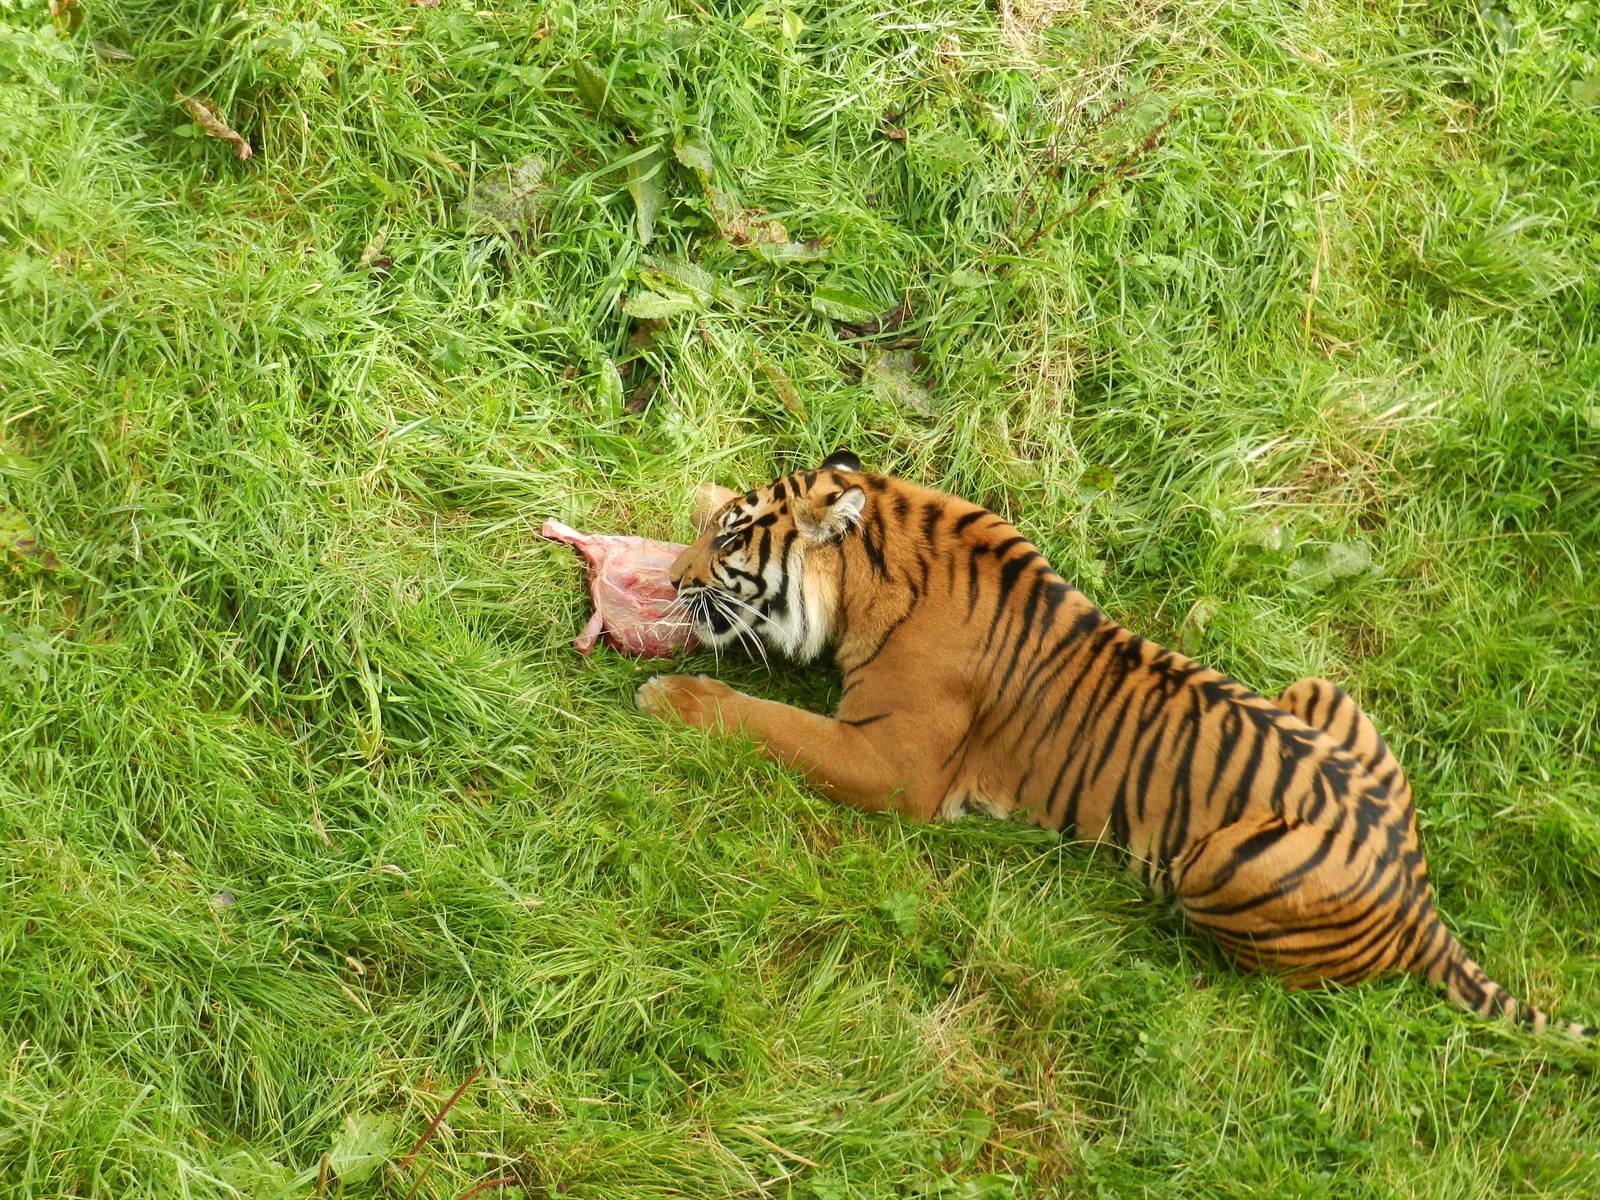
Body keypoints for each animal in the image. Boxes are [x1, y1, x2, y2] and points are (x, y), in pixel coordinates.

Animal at [635, 449, 1594, 1038]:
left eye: (729, 540)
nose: (672, 579)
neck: (876, 568)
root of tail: (1421, 900)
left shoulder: (891, 764)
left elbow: (773, 723)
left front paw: (670, 695)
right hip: (1320, 691)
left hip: (1222, 861)